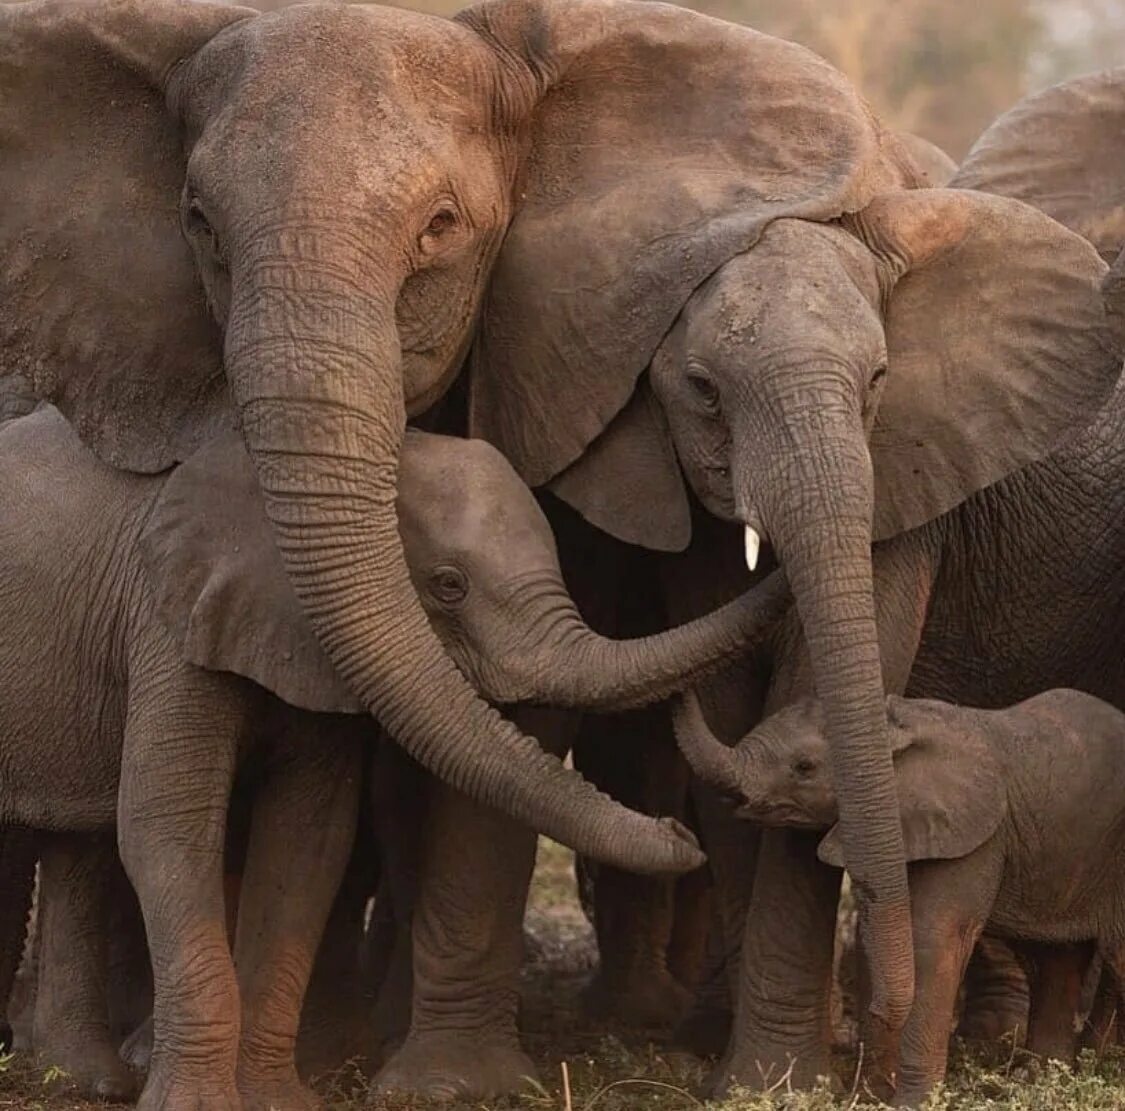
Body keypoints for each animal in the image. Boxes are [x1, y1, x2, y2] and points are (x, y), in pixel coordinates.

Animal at [0, 407, 783, 1111]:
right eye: (448, 585)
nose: (681, 831)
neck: (303, 480)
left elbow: (308, 846)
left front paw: (275, 1102)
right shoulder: (168, 630)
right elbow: (169, 831)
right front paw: (196, 1105)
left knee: (76, 848)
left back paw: (83, 1082)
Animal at [670, 683, 1125, 1102]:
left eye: (804, 767)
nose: (681, 690)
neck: (896, 727)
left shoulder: (975, 838)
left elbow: (932, 939)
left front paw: (911, 1102)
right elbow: (885, 933)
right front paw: (874, 1094)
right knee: (1059, 961)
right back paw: (1043, 1079)